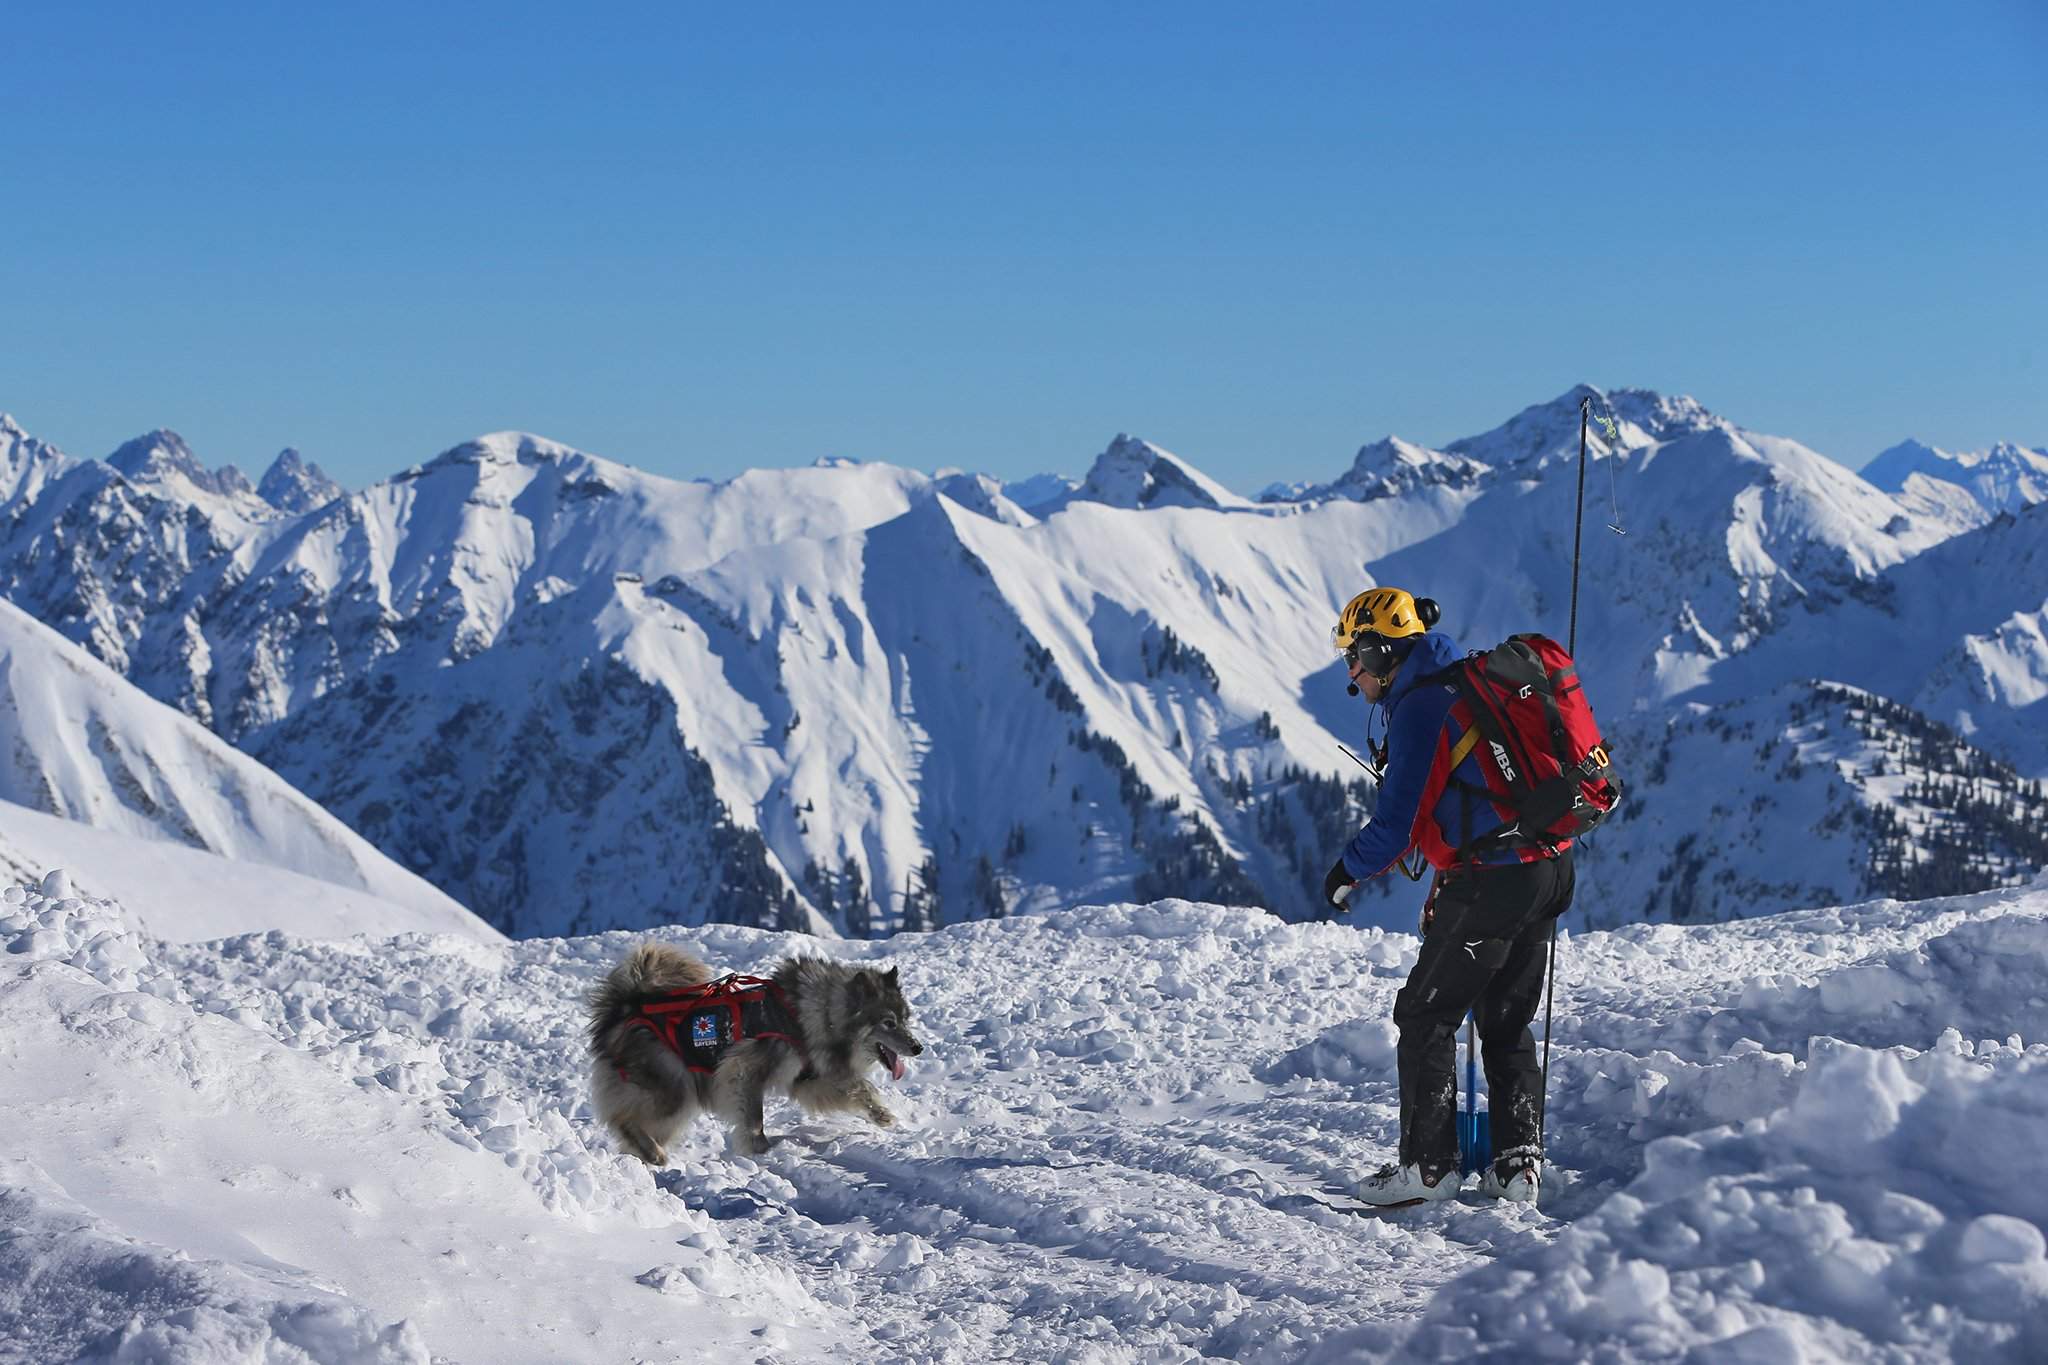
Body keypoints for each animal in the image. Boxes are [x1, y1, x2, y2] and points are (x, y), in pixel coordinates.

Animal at [585, 949, 921, 1162]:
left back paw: (644, 1156)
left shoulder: (808, 1079)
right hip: (674, 1090)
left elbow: (858, 1087)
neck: (812, 1015)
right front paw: (761, 1149)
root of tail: (625, 1008)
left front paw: (881, 1115)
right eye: (888, 1023)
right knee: (622, 1118)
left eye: (906, 1019)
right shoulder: (744, 1069)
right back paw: (653, 1154)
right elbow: (754, 1117)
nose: (918, 1047)